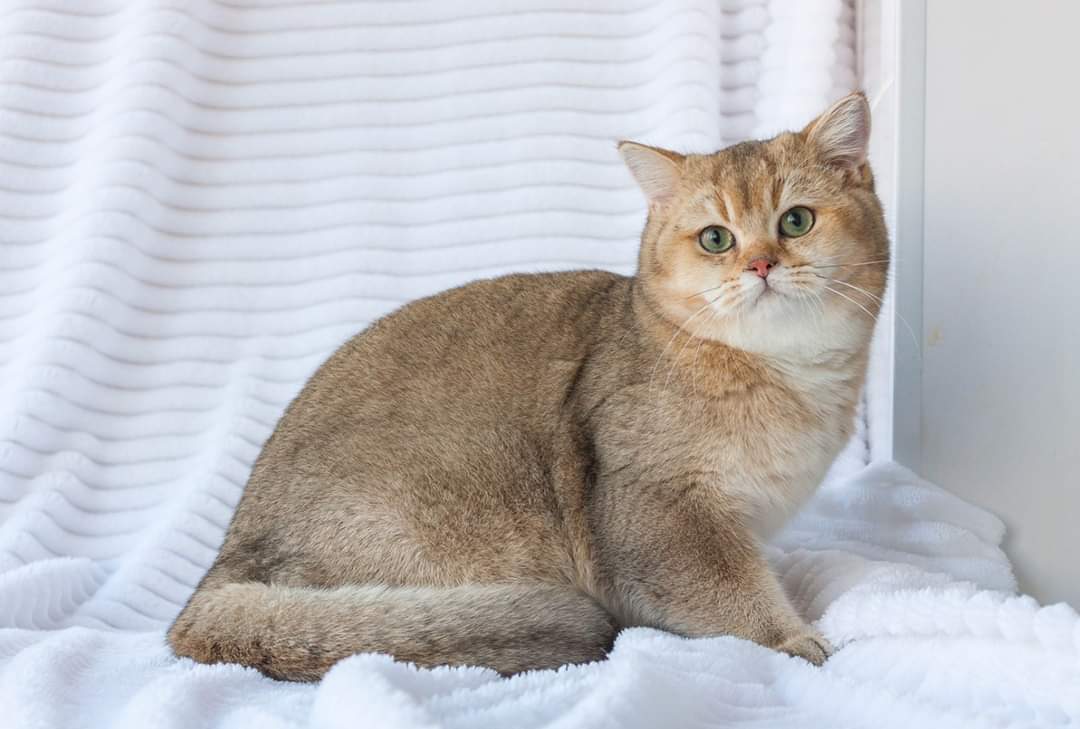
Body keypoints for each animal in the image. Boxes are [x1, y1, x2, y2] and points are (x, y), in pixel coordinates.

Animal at [168, 93, 889, 682]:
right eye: (716, 238)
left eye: (796, 221)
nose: (762, 264)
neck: (785, 374)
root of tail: (215, 574)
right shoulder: (657, 512)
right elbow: (729, 593)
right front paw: (795, 638)